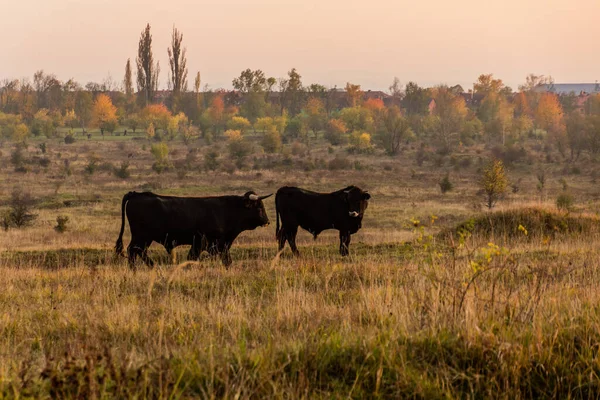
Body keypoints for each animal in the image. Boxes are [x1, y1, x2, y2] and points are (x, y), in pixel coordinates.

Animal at [113, 191, 272, 268]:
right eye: (259, 207)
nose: (267, 221)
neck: (227, 210)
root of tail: (136, 194)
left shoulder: (219, 245)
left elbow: (227, 260)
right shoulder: (203, 243)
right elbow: (193, 258)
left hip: (144, 238)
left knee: (137, 251)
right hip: (142, 236)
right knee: (134, 250)